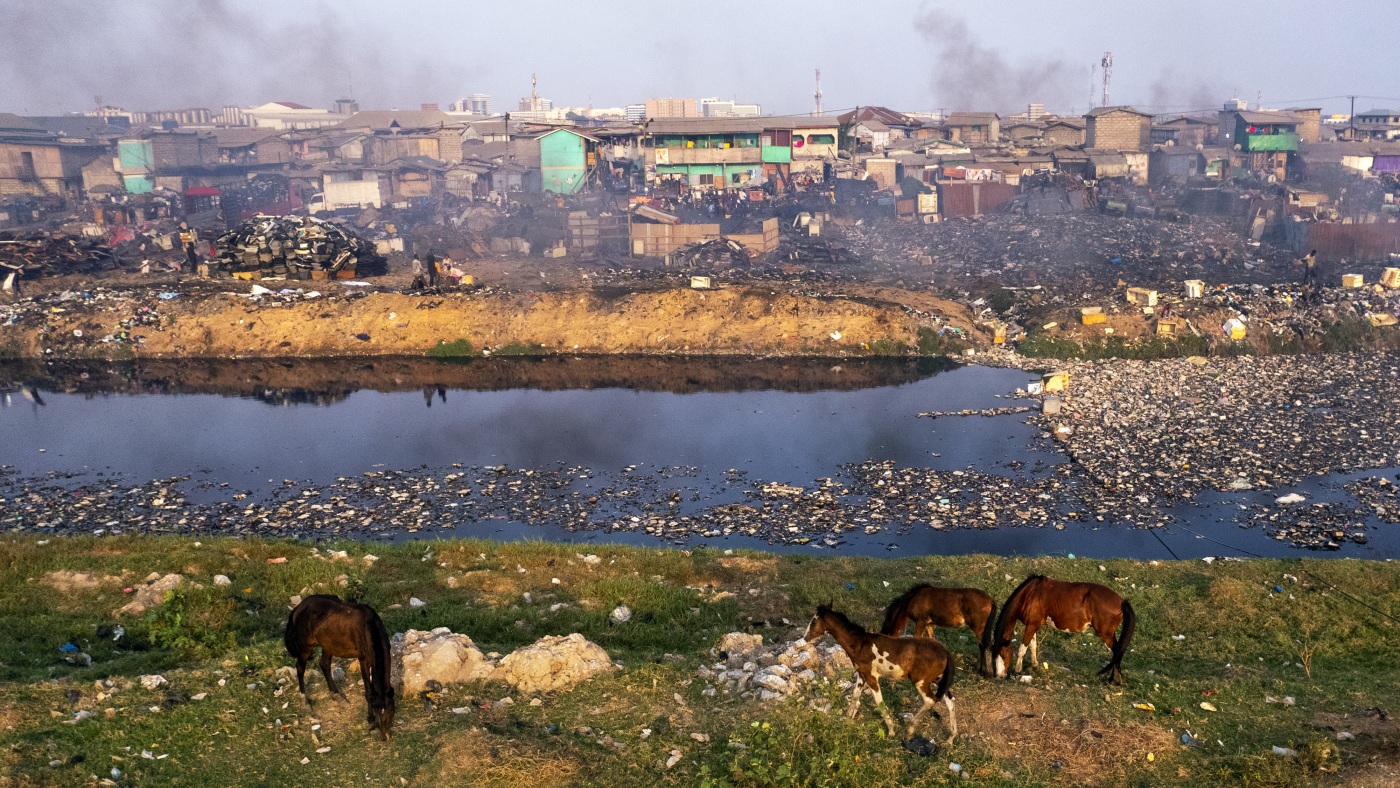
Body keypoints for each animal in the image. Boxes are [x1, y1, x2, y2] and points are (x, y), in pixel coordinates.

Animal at [282, 599, 397, 739]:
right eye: (377, 711)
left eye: (391, 711)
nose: (385, 737)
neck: (369, 627)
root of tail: (298, 608)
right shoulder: (363, 660)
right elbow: (369, 693)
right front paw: (371, 723)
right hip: (306, 647)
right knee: (300, 668)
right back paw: (305, 701)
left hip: (328, 644)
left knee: (324, 664)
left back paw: (336, 695)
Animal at [806, 607, 957, 744]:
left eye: (814, 622)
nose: (805, 637)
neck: (860, 644)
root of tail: (945, 652)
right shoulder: (862, 675)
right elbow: (855, 695)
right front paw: (848, 720)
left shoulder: (872, 677)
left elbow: (879, 702)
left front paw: (891, 730)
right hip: (937, 679)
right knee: (950, 699)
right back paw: (951, 737)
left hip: (921, 681)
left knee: (930, 700)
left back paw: (910, 731)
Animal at [991, 579, 1131, 685]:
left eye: (1003, 654)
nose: (999, 675)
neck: (1030, 594)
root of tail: (1122, 601)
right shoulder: (1033, 625)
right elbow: (1032, 646)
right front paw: (1034, 665)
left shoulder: (1031, 626)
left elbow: (1022, 649)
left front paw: (1017, 670)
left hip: (1105, 634)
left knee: (1117, 652)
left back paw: (1115, 680)